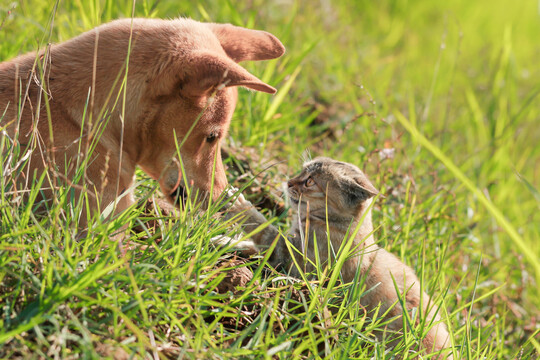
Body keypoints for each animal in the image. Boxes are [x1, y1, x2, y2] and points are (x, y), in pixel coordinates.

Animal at [227, 158, 452, 358]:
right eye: (302, 171)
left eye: (310, 181)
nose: (289, 181)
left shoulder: (294, 259)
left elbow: (264, 230)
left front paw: (237, 206)